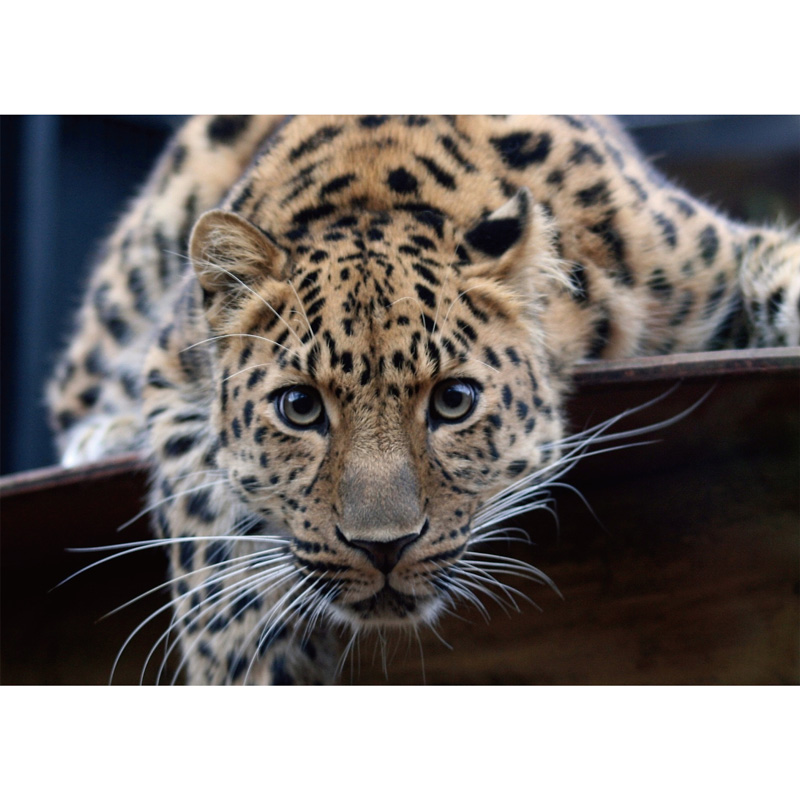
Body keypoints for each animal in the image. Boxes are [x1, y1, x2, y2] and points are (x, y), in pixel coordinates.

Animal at [46, 115, 800, 684]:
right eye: (299, 408)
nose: (383, 548)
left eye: (454, 401)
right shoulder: (171, 371)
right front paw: (240, 667)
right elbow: (207, 530)